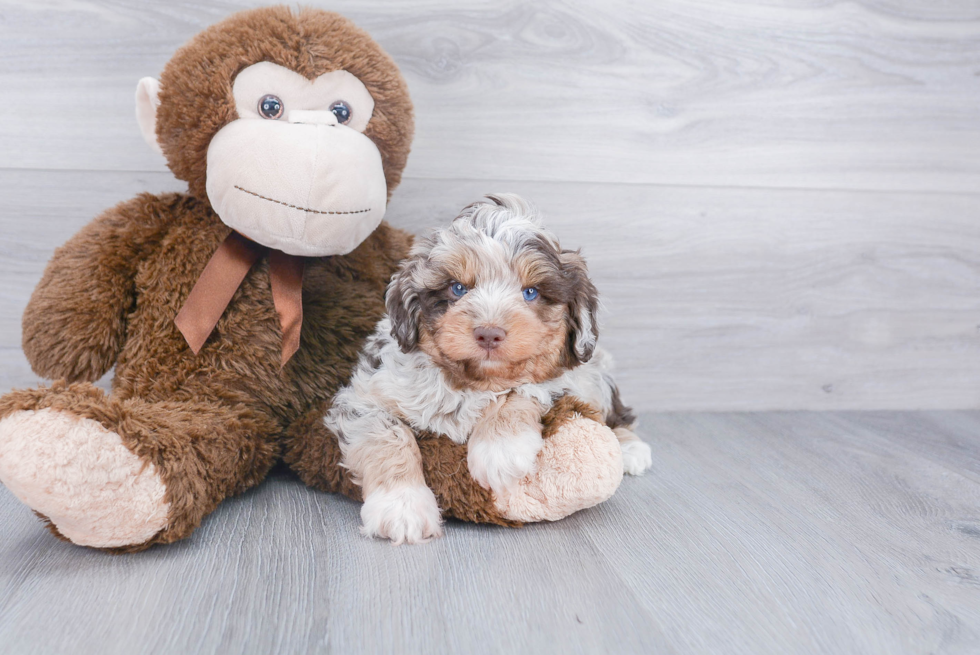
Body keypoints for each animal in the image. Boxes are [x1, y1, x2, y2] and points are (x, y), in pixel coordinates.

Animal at [326, 193, 656, 544]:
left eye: (531, 292)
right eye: (457, 288)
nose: (489, 333)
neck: (471, 383)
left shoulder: (565, 377)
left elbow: (518, 390)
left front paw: (500, 451)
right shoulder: (364, 398)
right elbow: (387, 437)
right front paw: (402, 507)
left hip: (597, 372)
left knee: (616, 411)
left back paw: (630, 448)